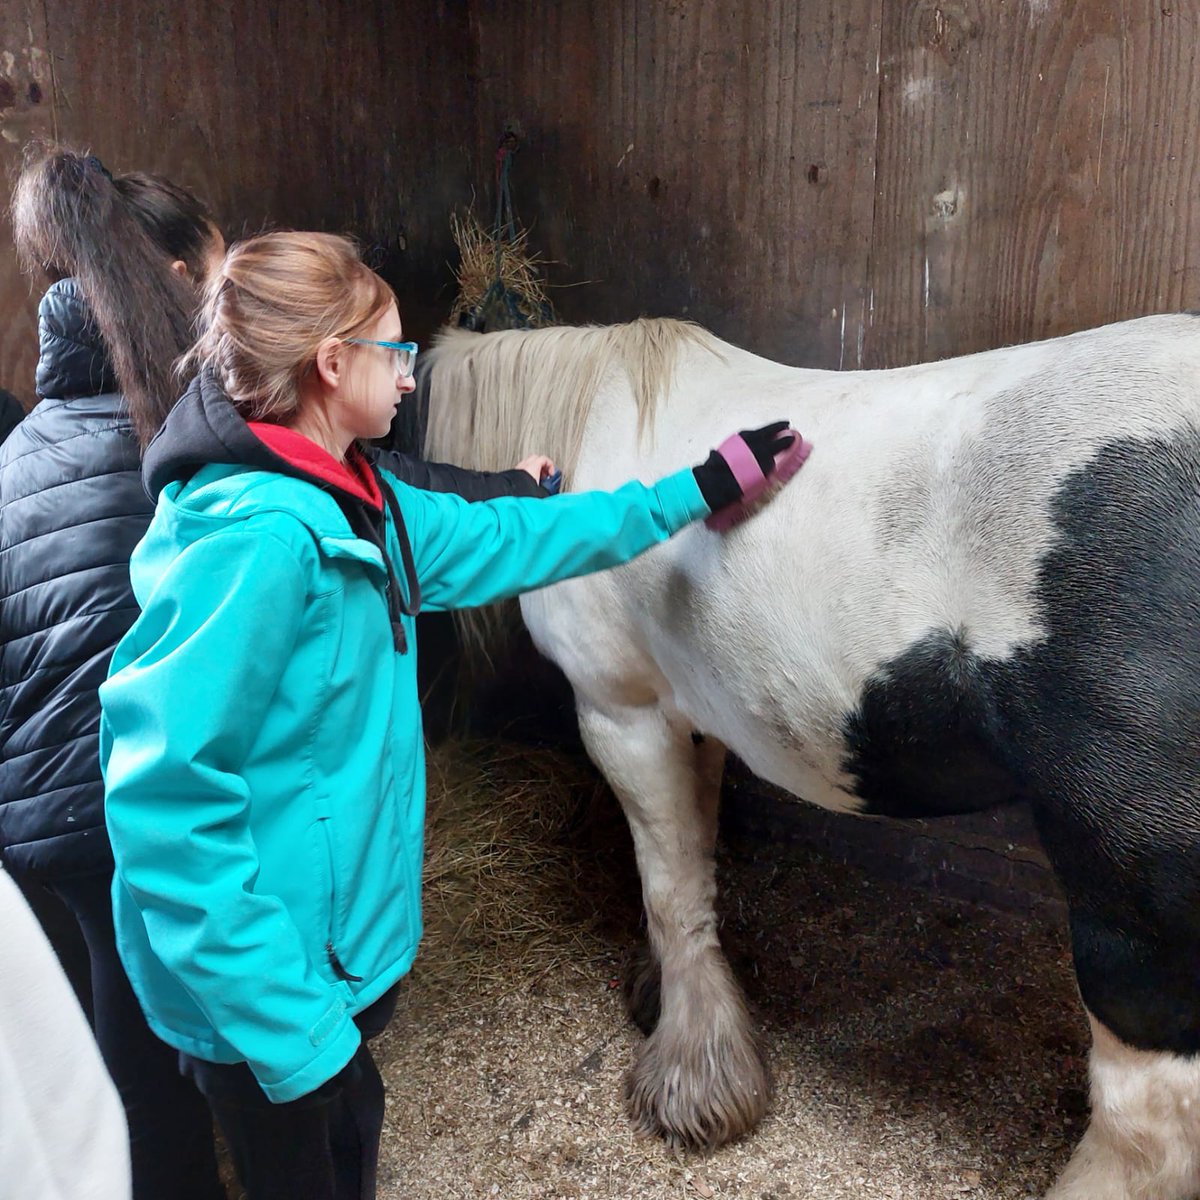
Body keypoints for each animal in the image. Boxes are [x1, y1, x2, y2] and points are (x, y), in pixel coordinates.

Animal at [421, 314, 1200, 1200]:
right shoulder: (694, 721)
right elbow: (693, 869)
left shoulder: (623, 715)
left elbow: (670, 889)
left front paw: (695, 1081)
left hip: (1133, 897)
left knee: (1149, 1119)